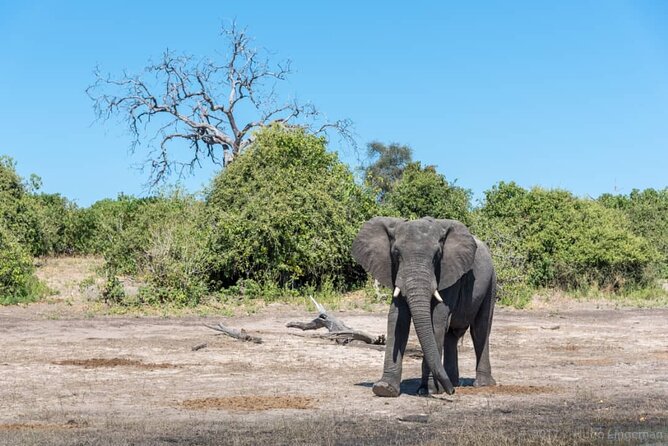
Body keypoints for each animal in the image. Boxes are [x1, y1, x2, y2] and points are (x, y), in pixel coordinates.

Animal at [352, 216, 494, 398]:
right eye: (396, 254)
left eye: (437, 255)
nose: (452, 392)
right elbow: (397, 318)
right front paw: (384, 388)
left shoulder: (447, 272)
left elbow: (436, 320)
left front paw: (430, 390)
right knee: (451, 336)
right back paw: (453, 381)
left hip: (491, 281)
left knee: (480, 329)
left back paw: (480, 384)